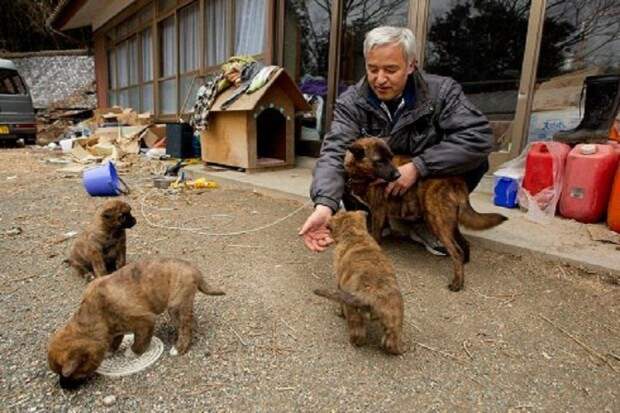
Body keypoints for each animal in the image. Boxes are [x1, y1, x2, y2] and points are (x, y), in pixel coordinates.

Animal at [47, 256, 225, 388]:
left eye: (71, 374)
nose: (62, 387)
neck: (95, 314)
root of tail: (194, 269)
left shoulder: (145, 321)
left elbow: (140, 341)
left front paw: (132, 352)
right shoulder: (115, 328)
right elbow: (115, 339)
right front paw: (110, 351)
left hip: (176, 306)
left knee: (185, 326)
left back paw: (179, 347)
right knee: (190, 321)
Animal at [314, 211, 402, 352]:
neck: (355, 234)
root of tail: (371, 295)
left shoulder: (339, 283)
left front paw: (339, 312)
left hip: (354, 312)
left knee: (357, 333)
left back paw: (355, 342)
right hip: (394, 318)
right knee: (391, 340)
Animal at [344, 137, 508, 292]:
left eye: (390, 158)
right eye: (379, 161)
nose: (398, 175)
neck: (363, 176)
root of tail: (456, 181)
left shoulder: (378, 210)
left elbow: (375, 235)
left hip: (436, 221)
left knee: (456, 251)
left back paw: (457, 283)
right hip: (449, 222)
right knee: (464, 244)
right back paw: (464, 263)